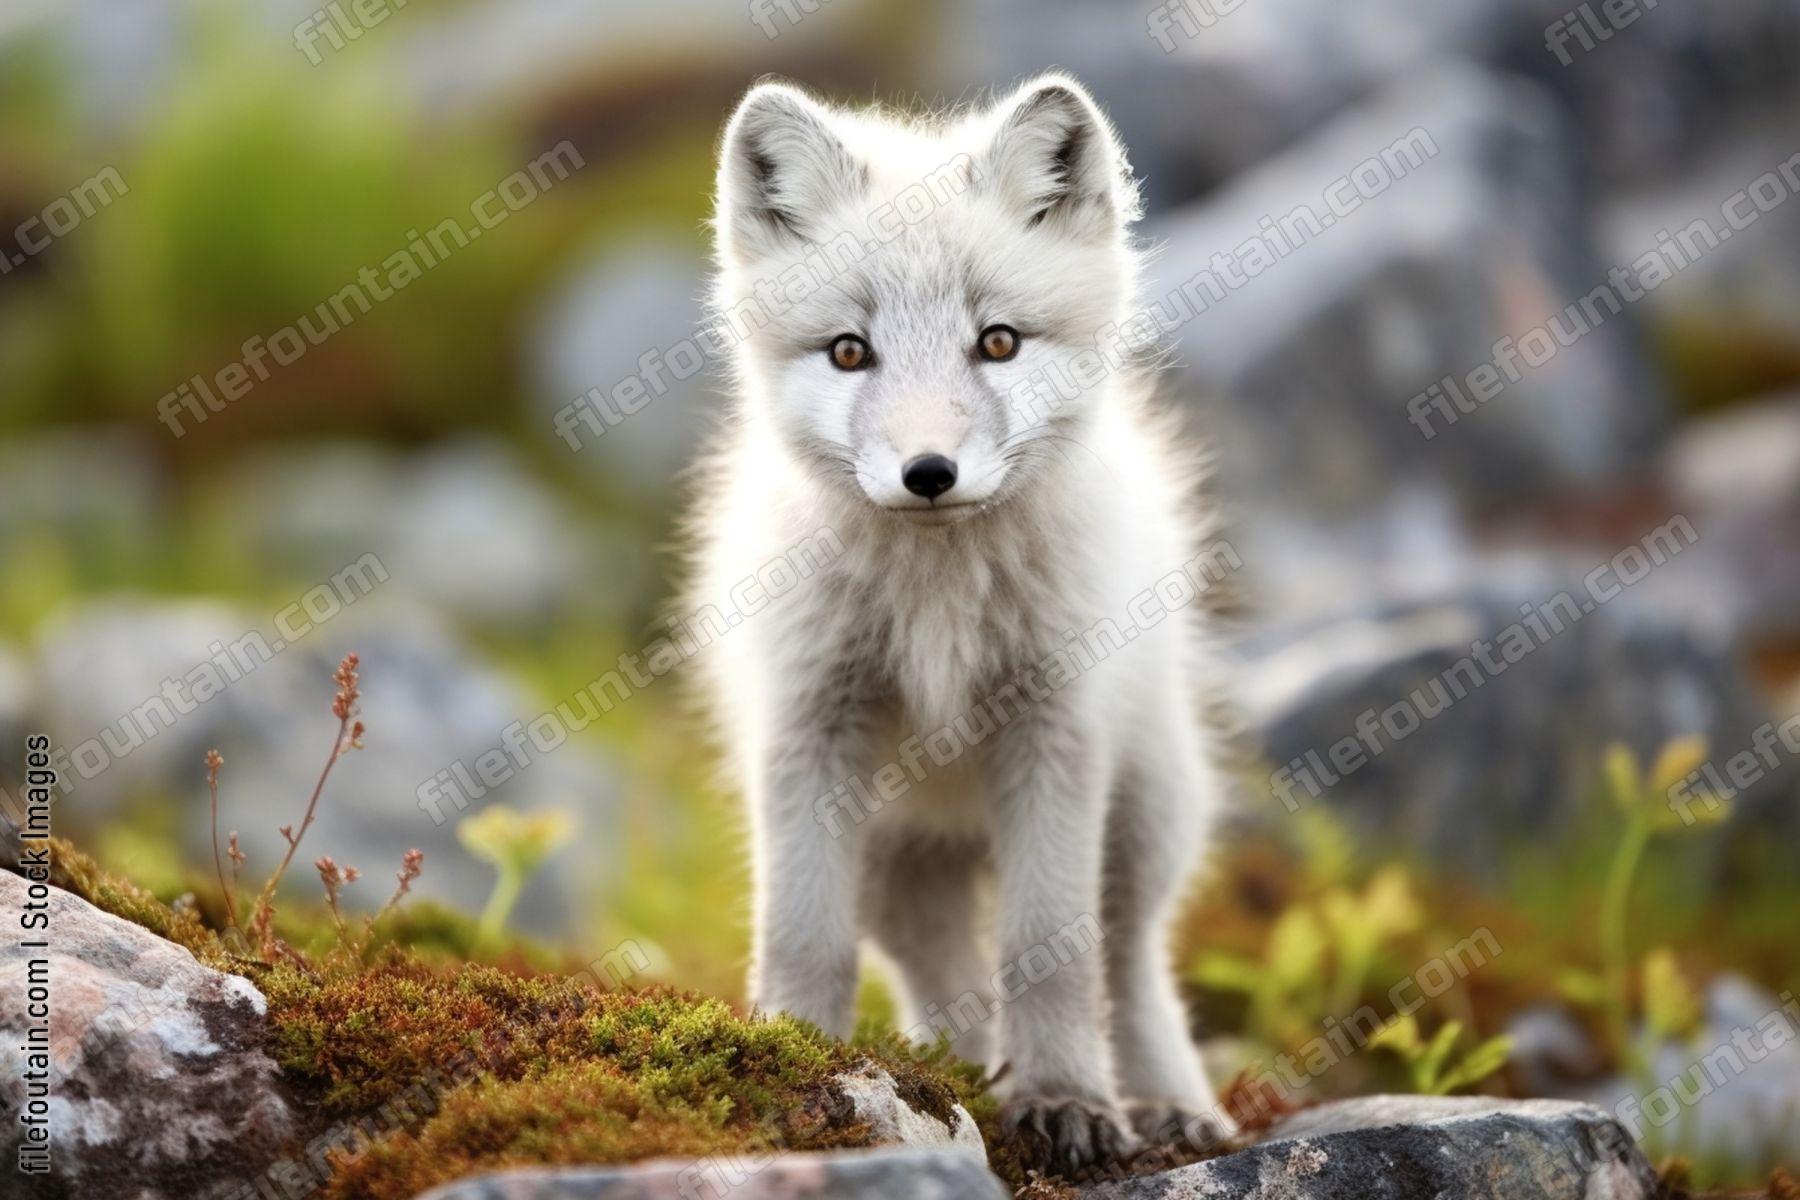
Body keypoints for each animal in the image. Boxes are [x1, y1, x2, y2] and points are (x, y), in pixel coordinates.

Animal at [683, 73, 1234, 1173]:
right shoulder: (807, 734)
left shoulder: (1056, 735)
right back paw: (963, 1076)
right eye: (850, 352)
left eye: (999, 342)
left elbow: (1051, 953)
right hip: (894, 866)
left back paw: (1166, 1104)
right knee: (945, 979)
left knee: (1130, 964)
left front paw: (1068, 1104)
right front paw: (793, 1064)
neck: (937, 604)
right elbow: (801, 939)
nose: (928, 473)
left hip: (1145, 815)